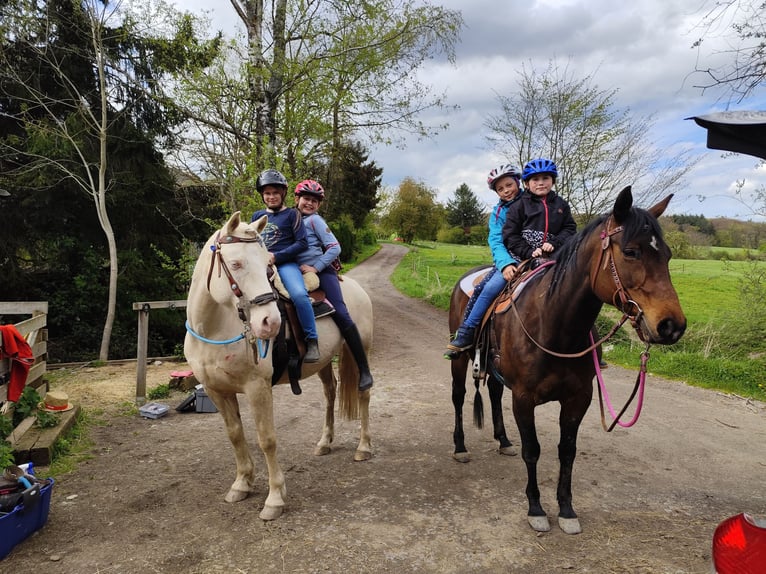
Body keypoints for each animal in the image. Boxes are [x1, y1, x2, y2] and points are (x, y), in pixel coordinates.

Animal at [188, 213, 376, 520]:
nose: (271, 323)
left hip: (360, 350)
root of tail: (354, 286)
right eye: (236, 264)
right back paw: (325, 442)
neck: (214, 331)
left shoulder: (258, 388)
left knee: (364, 393)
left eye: (267, 264)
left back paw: (364, 447)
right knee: (330, 393)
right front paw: (241, 484)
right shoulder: (217, 391)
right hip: (324, 361)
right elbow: (235, 435)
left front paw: (275, 498)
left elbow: (267, 439)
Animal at [448, 188, 688, 536]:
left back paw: (503, 440)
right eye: (631, 252)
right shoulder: (524, 398)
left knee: (493, 392)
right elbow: (532, 450)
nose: (672, 326)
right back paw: (460, 447)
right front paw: (536, 509)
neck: (554, 324)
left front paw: (566, 510)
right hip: (460, 359)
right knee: (458, 396)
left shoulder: (578, 399)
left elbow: (567, 452)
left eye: (667, 255)